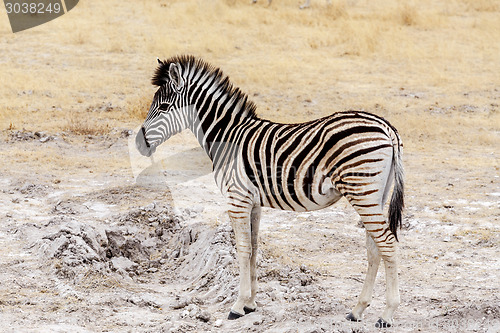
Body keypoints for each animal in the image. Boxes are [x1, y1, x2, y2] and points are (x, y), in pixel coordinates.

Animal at [135, 55, 404, 326]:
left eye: (164, 107)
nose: (138, 144)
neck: (227, 137)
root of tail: (385, 126)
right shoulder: (253, 202)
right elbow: (254, 249)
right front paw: (251, 304)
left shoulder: (237, 199)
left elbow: (242, 250)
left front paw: (237, 305)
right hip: (375, 195)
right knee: (374, 249)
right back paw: (357, 310)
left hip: (361, 191)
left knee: (387, 244)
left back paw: (387, 313)